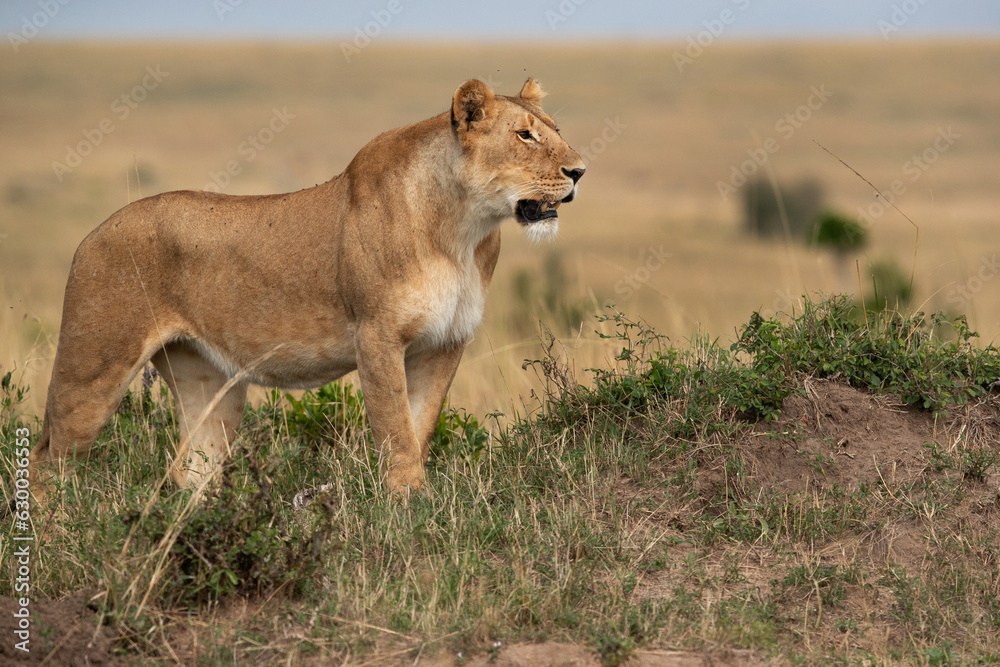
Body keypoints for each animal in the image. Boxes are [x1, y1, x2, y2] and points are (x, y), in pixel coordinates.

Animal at [28, 78, 585, 497]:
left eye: (557, 131)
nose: (579, 170)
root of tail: (90, 235)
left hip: (209, 383)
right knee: (46, 461)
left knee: (190, 470)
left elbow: (420, 424)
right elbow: (396, 431)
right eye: (525, 136)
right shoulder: (376, 336)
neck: (463, 230)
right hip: (93, 371)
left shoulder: (445, 342)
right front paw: (407, 507)